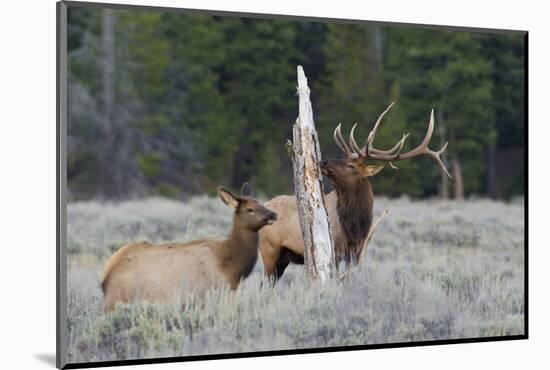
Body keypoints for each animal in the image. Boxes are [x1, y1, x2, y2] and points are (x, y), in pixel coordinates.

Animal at [101, 184, 278, 310]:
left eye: (261, 203)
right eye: (250, 209)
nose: (273, 214)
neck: (233, 267)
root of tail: (105, 277)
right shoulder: (210, 294)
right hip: (117, 300)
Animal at [260, 102, 454, 278]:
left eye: (351, 165)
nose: (323, 161)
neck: (355, 226)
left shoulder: (357, 251)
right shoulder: (336, 249)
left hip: (282, 259)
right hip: (269, 250)